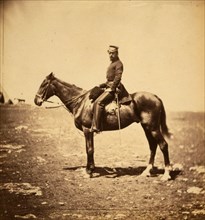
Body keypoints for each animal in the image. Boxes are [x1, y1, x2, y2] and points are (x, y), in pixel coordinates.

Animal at [34, 72, 172, 180]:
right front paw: (91, 169)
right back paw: (146, 171)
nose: (36, 101)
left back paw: (166, 174)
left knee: (163, 145)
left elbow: (89, 149)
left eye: (44, 84)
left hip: (153, 128)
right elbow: (90, 149)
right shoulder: (89, 131)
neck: (81, 102)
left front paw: (89, 172)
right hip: (146, 127)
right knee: (153, 146)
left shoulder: (87, 130)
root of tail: (156, 97)